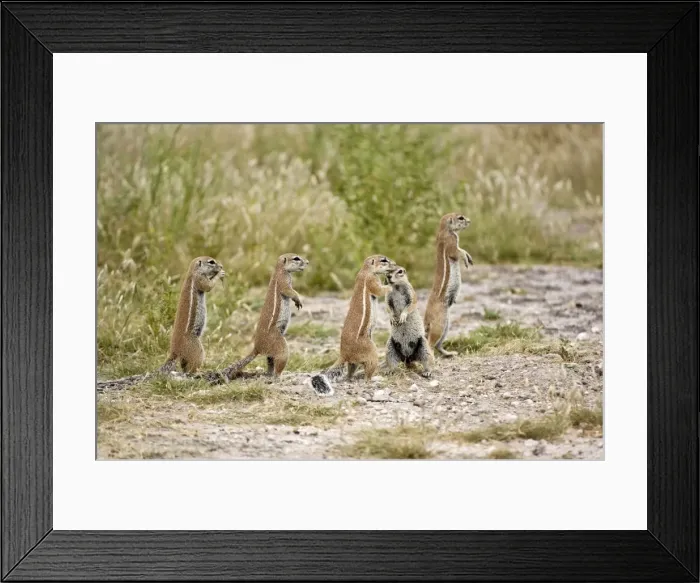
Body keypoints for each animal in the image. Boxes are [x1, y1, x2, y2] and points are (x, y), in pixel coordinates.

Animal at [310, 254, 396, 396]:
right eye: (383, 260)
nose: (394, 264)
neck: (365, 270)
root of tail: (344, 354)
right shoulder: (371, 281)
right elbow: (379, 291)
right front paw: (390, 286)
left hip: (353, 362)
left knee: (350, 370)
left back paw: (351, 378)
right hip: (371, 352)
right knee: (368, 372)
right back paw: (373, 379)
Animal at [423, 213, 473, 357]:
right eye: (461, 218)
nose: (469, 221)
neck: (444, 230)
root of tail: (426, 321)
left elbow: (462, 250)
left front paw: (469, 258)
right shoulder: (451, 243)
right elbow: (458, 252)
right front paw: (466, 259)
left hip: (446, 325)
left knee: (438, 345)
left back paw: (450, 353)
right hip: (439, 324)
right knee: (430, 343)